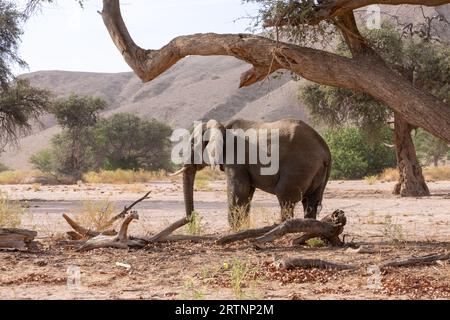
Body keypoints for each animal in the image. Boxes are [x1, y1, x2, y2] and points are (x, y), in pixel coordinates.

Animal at [171, 118, 330, 228]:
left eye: (192, 144)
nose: (193, 222)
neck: (222, 126)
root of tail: (325, 151)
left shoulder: (236, 159)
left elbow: (239, 190)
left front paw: (234, 229)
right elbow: (247, 193)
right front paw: (242, 227)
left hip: (299, 166)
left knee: (285, 196)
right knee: (311, 201)